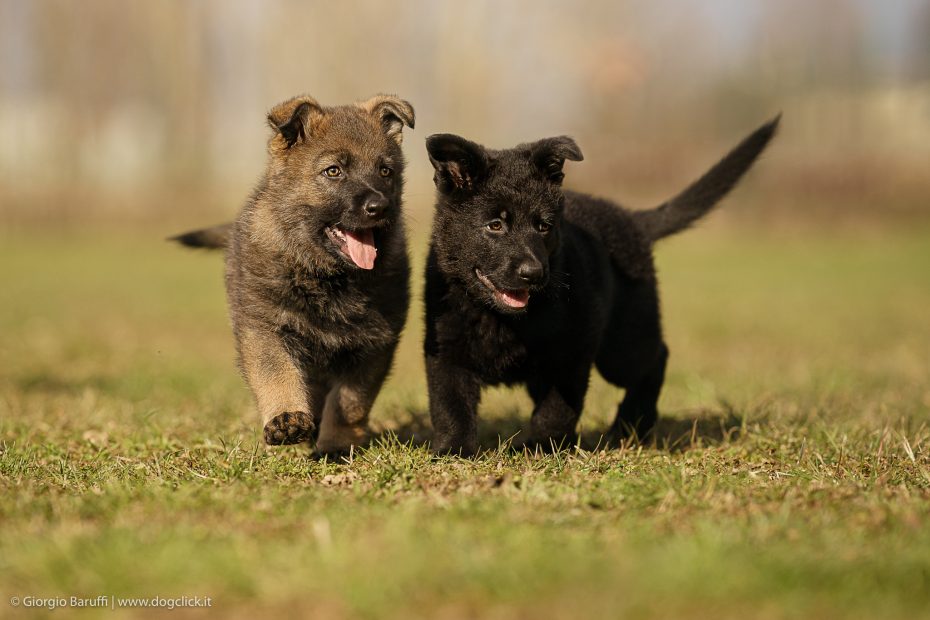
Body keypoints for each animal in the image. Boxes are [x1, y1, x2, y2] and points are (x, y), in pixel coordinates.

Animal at [171, 94, 416, 452]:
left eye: (386, 171)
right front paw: (287, 419)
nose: (379, 207)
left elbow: (350, 402)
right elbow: (277, 374)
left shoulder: (375, 343)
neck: (326, 275)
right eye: (333, 171)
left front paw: (338, 445)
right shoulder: (265, 328)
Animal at [422, 115, 776, 456]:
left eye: (544, 226)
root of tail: (632, 220)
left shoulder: (572, 353)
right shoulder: (445, 350)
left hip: (622, 349)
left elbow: (556, 411)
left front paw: (541, 448)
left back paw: (631, 425)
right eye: (495, 225)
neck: (502, 320)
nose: (534, 273)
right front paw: (453, 450)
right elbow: (450, 407)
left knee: (656, 357)